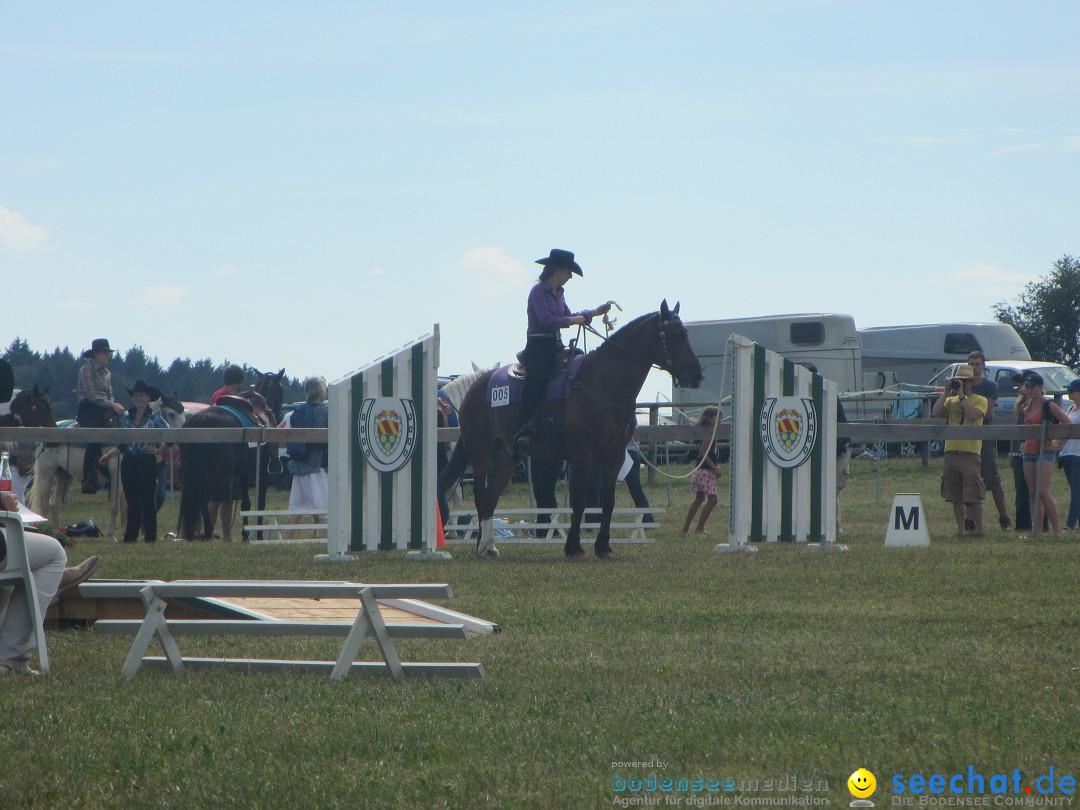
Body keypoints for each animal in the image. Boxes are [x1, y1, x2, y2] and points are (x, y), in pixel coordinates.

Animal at [29, 393, 185, 540]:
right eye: (171, 414)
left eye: (183, 412)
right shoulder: (117, 477)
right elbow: (115, 507)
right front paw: (112, 536)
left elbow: (129, 505)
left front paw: (126, 532)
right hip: (47, 473)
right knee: (44, 506)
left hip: (64, 475)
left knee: (55, 504)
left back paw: (57, 534)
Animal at [174, 390, 276, 542]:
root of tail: (199, 422)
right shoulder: (259, 471)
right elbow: (255, 503)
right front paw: (254, 534)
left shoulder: (242, 473)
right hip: (214, 473)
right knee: (206, 498)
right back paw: (209, 531)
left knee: (201, 499)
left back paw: (206, 532)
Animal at [436, 302, 699, 561]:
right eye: (675, 334)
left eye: (686, 333)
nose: (698, 373)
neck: (601, 383)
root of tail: (474, 389)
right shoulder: (583, 456)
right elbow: (579, 501)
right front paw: (574, 547)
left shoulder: (614, 455)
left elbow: (608, 501)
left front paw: (603, 547)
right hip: (480, 454)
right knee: (480, 496)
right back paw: (480, 545)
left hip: (506, 457)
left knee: (491, 497)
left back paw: (489, 546)